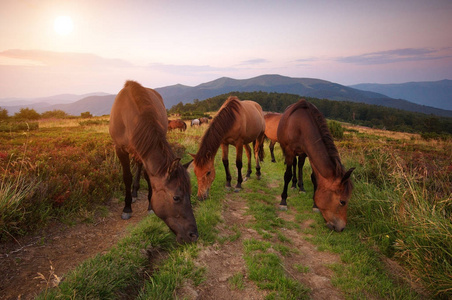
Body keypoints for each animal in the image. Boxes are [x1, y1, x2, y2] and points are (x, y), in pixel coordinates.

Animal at [278, 98, 354, 232]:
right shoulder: (289, 151)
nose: (342, 228)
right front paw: (283, 201)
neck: (301, 125)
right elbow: (287, 175)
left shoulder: (309, 153)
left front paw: (315, 205)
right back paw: (293, 185)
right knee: (294, 165)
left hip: (302, 153)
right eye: (342, 202)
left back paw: (300, 187)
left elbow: (315, 179)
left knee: (299, 164)